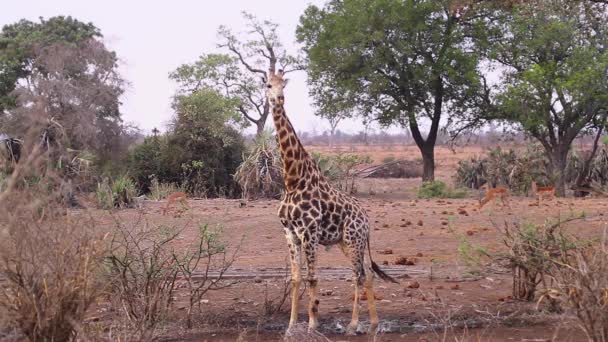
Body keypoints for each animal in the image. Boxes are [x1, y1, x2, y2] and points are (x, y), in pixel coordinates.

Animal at [266, 69, 400, 334]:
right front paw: (291, 325)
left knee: (359, 275)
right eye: (268, 85)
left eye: (283, 85)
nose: (279, 99)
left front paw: (312, 324)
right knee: (366, 273)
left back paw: (354, 324)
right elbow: (296, 278)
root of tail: (366, 219)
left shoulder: (309, 231)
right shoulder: (289, 232)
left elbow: (312, 277)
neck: (292, 180)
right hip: (345, 243)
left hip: (353, 239)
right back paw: (372, 324)